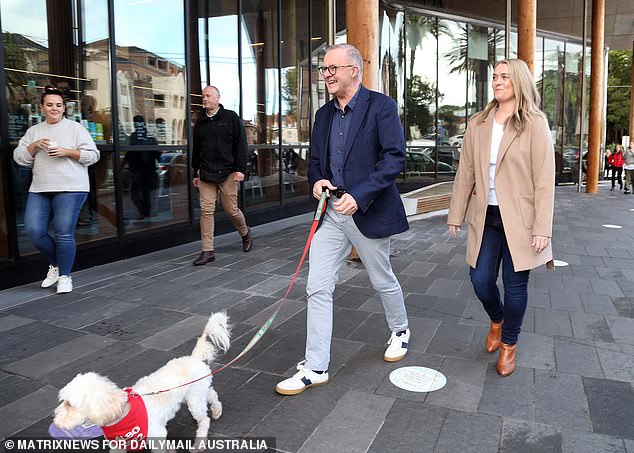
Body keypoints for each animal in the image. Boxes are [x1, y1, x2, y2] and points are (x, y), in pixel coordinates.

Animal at [51, 312, 230, 450]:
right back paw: (217, 410)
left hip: (194, 399)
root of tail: (193, 357)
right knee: (212, 394)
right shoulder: (119, 445)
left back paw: (199, 444)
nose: (54, 417)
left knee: (204, 420)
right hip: (196, 391)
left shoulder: (157, 434)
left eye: (69, 404)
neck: (123, 412)